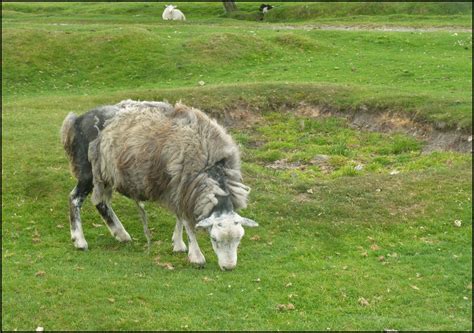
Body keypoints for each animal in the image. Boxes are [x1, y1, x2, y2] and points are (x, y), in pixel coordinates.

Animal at [61, 99, 260, 270]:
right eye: (214, 239)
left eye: (239, 239)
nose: (229, 267)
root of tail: (76, 120)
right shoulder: (182, 185)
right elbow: (187, 222)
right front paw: (196, 256)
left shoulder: (179, 187)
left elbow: (179, 217)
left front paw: (178, 244)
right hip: (87, 171)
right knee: (75, 198)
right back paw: (79, 240)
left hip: (106, 173)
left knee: (101, 202)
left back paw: (121, 234)